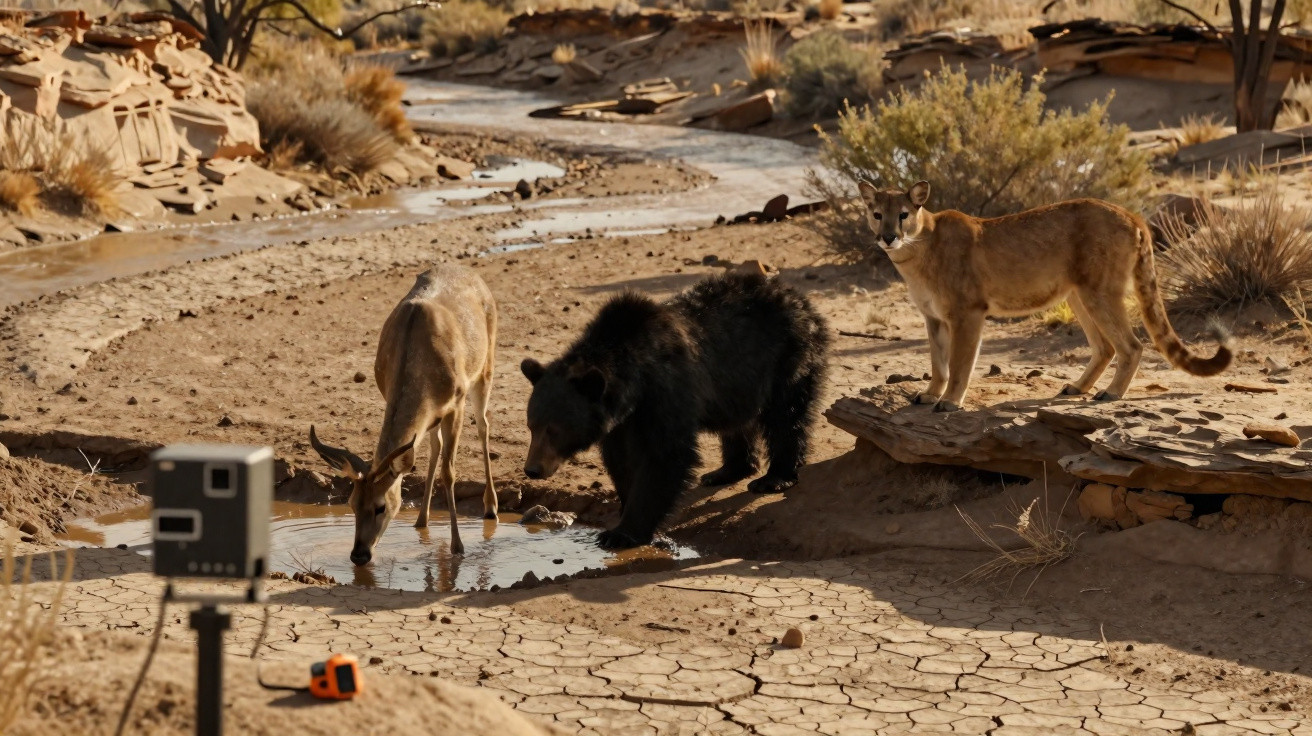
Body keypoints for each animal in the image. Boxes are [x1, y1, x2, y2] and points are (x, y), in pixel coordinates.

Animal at [519, 272, 830, 549]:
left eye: (555, 429)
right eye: (532, 425)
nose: (532, 469)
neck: (635, 383)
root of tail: (798, 297)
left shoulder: (667, 391)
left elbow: (666, 455)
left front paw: (622, 533)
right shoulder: (620, 421)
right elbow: (620, 459)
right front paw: (624, 507)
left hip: (787, 358)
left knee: (786, 415)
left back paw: (774, 478)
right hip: (742, 382)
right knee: (739, 423)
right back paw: (726, 470)